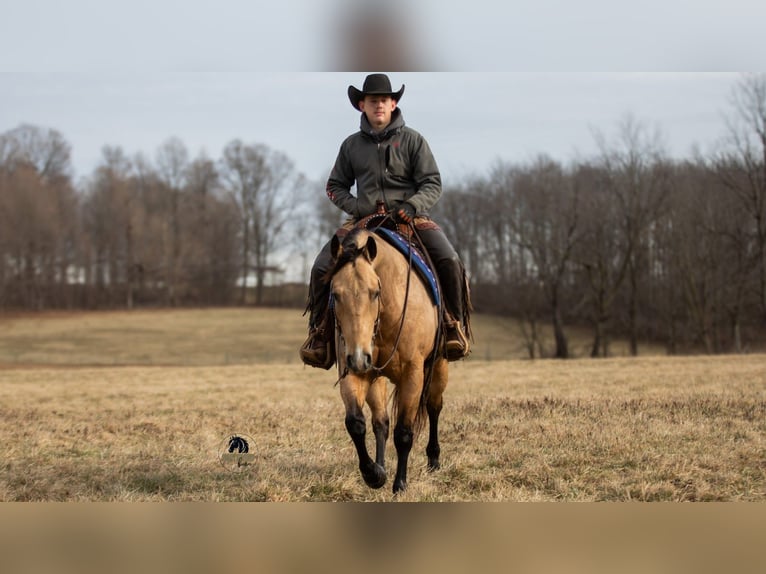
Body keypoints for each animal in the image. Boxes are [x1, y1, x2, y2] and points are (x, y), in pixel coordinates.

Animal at [325, 226, 448, 494]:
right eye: (335, 294)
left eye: (375, 292)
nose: (359, 357)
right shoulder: (353, 371)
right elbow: (356, 423)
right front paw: (374, 474)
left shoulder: (413, 374)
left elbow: (404, 432)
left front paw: (400, 484)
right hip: (376, 376)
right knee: (380, 421)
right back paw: (381, 465)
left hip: (438, 366)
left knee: (434, 407)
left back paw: (434, 459)